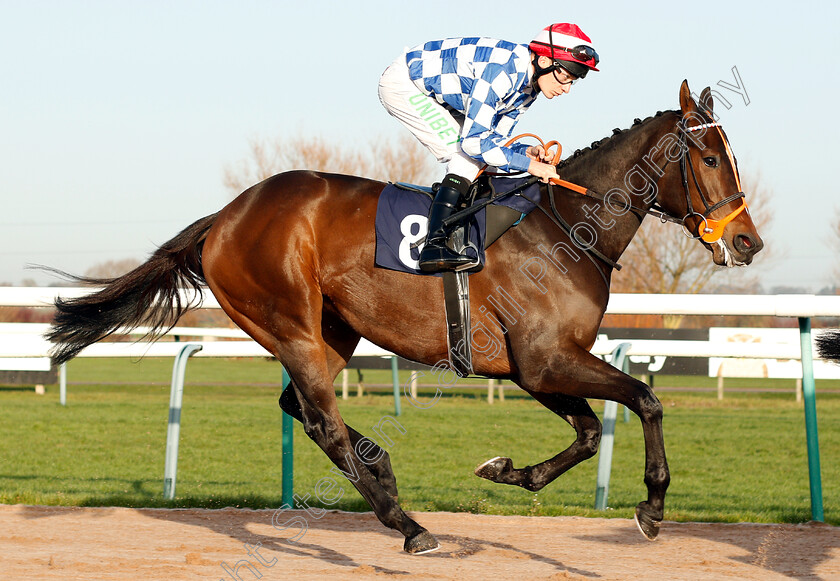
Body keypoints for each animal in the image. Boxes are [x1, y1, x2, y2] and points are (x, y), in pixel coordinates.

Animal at [49, 80, 764, 552]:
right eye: (708, 158)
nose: (748, 241)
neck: (568, 228)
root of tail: (225, 217)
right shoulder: (546, 359)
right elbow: (646, 399)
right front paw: (652, 505)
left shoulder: (536, 368)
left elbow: (590, 434)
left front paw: (508, 471)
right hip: (290, 321)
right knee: (320, 421)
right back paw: (408, 526)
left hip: (330, 331)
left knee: (301, 409)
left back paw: (387, 479)